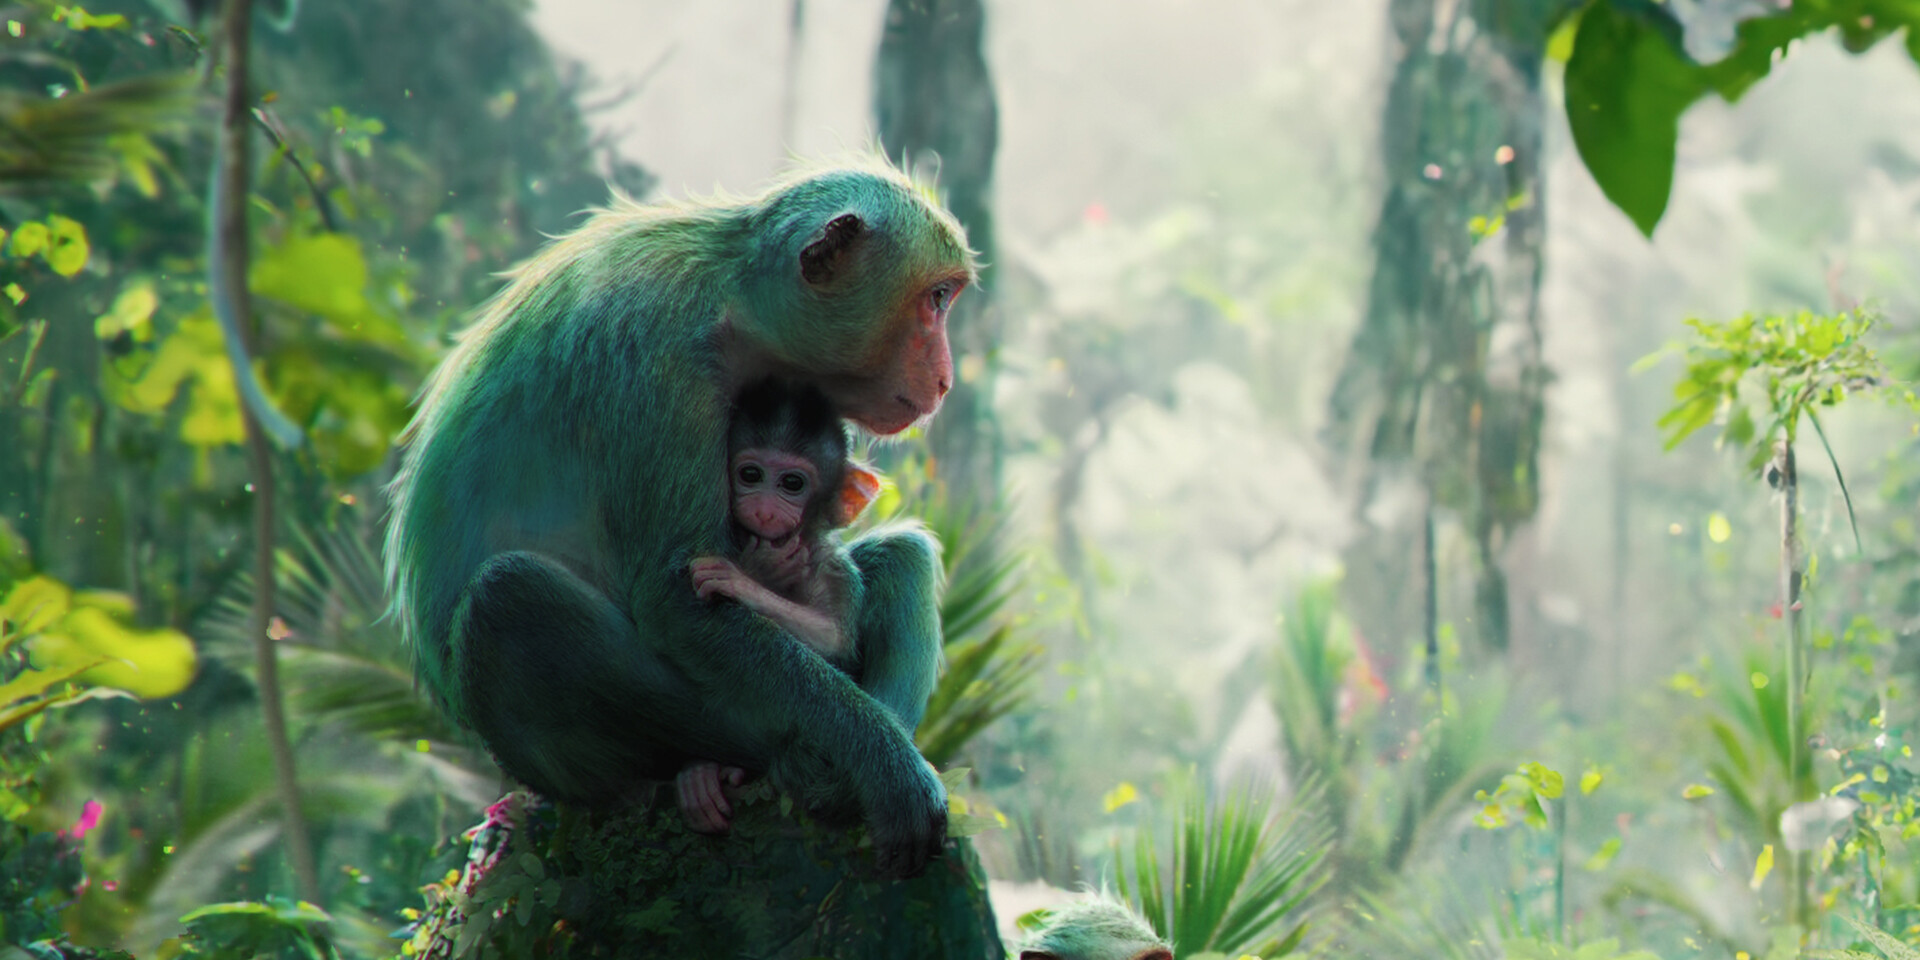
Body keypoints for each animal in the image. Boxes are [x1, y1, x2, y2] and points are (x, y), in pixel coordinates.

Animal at [382, 156, 972, 879]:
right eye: (936, 299)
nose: (945, 379)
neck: (732, 299)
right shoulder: (659, 365)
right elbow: (678, 604)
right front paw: (886, 764)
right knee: (511, 597)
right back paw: (762, 768)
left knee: (902, 557)